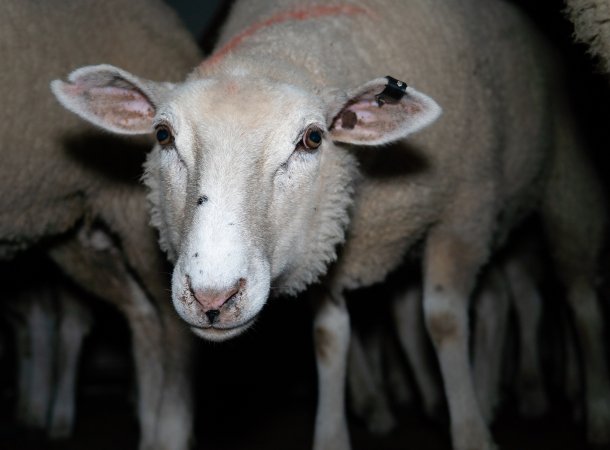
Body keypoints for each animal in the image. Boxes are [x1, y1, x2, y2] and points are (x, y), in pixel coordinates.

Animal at [52, 0, 608, 450]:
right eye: (163, 135)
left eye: (313, 139)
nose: (212, 298)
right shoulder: (322, 243)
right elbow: (329, 336)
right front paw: (334, 436)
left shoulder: (462, 216)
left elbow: (445, 321)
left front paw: (472, 434)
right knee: (493, 300)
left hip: (561, 191)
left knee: (575, 297)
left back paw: (583, 408)